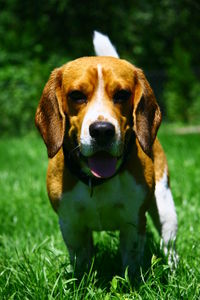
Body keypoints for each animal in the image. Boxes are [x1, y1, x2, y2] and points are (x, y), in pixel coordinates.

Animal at [35, 31, 177, 276]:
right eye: (76, 95)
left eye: (122, 94)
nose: (102, 130)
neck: (99, 182)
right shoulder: (71, 225)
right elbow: (81, 262)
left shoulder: (133, 223)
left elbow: (131, 262)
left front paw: (131, 281)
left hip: (165, 207)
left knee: (169, 244)